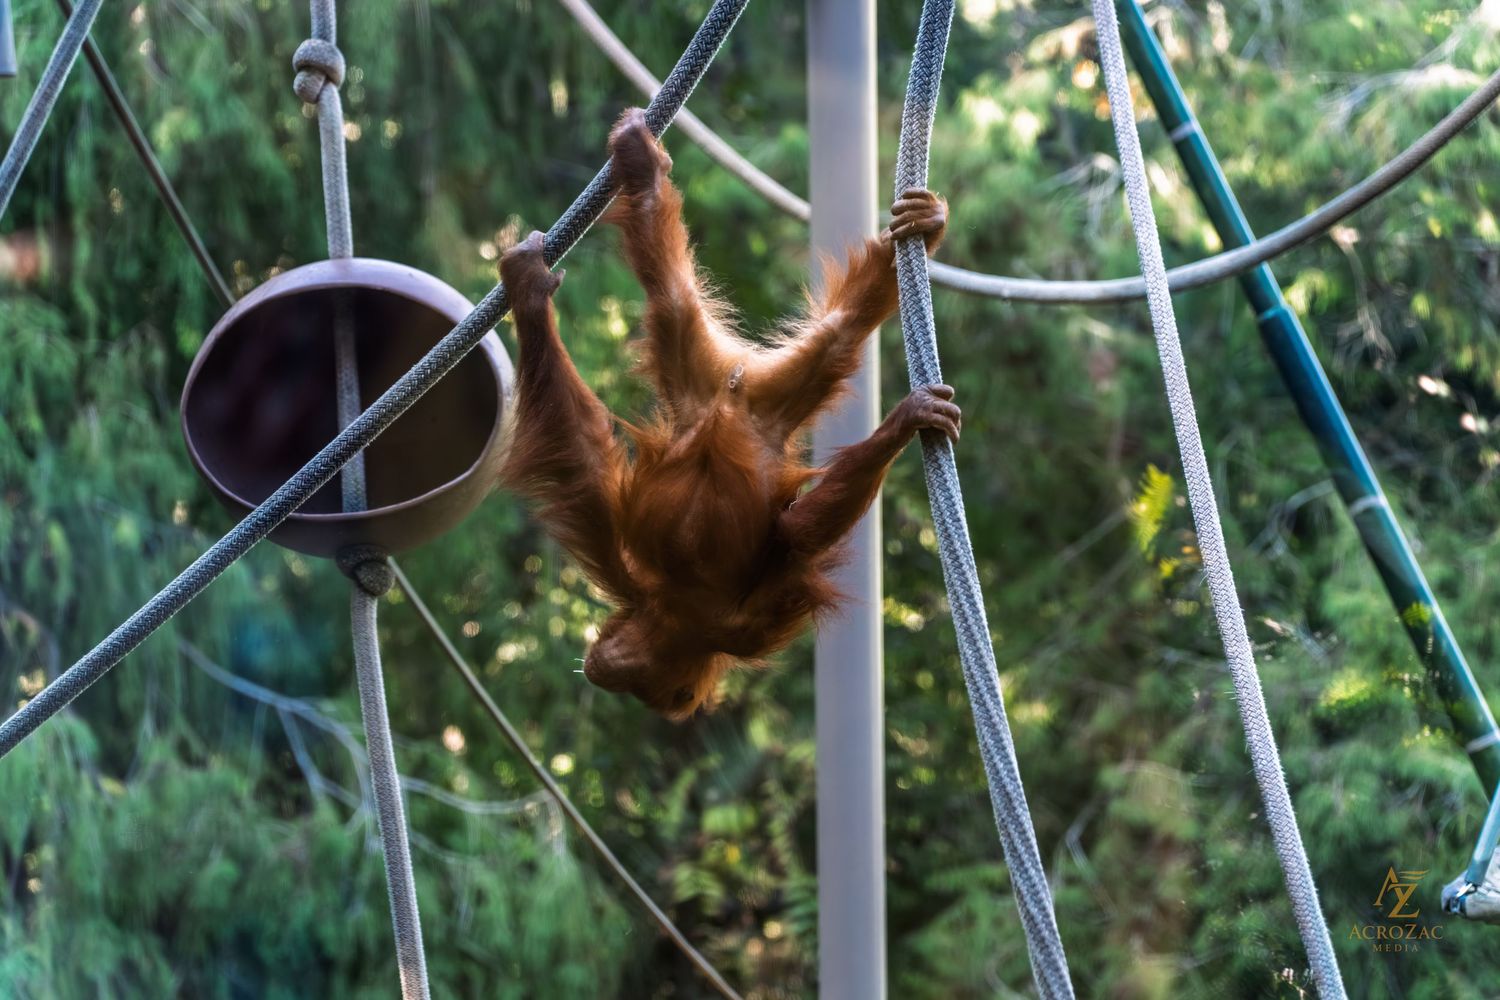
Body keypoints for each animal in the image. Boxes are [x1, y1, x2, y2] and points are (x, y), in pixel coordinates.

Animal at [498, 108, 957, 719]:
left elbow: (788, 533)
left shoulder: (723, 612)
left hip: (727, 383)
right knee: (698, 301)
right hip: (703, 378)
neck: (678, 614)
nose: (592, 665)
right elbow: (790, 532)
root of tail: (735, 396)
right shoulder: (664, 593)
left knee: (818, 330)